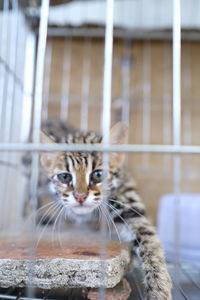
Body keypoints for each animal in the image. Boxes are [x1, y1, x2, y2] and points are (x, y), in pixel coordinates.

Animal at [40, 122, 172, 300]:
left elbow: (150, 243)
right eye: (65, 177)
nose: (80, 196)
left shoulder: (129, 205)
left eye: (98, 174)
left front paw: (158, 289)